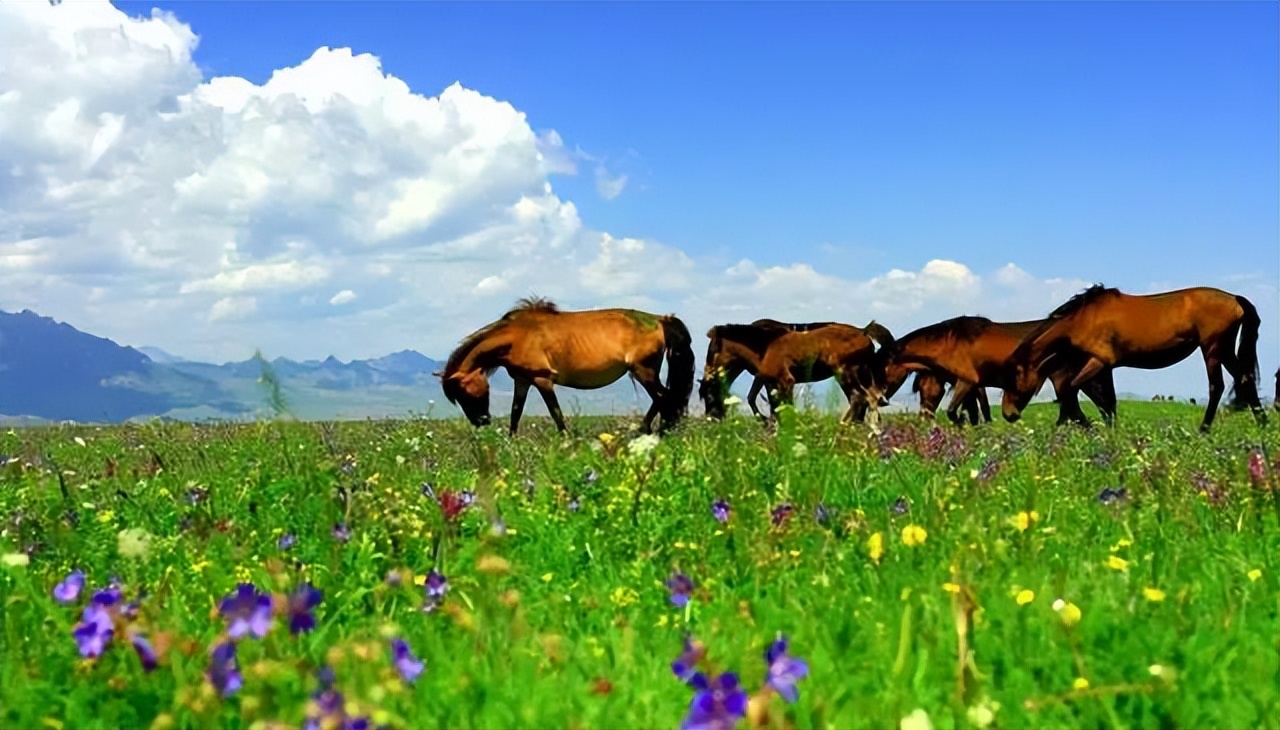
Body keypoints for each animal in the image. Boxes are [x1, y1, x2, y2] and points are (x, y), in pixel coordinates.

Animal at [440, 295, 701, 432]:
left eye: (463, 394)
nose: (481, 421)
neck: (516, 337)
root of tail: (661, 320)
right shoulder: (522, 381)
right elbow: (516, 414)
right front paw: (511, 443)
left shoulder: (543, 379)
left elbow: (556, 414)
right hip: (645, 372)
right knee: (663, 399)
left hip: (643, 371)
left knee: (664, 398)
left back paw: (654, 432)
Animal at [885, 313, 1116, 425]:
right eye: (920, 389)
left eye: (883, 371)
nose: (924, 418)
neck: (951, 342)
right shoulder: (971, 386)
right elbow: (976, 413)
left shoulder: (969, 383)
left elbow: (968, 412)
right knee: (1100, 410)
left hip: (1067, 382)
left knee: (1084, 413)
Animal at [1003, 284, 1264, 432]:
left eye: (1013, 377)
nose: (1008, 414)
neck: (1085, 318)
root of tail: (1234, 298)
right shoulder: (1104, 367)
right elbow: (1106, 400)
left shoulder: (1099, 362)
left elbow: (1072, 391)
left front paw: (1076, 425)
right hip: (1225, 349)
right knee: (1245, 379)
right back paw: (1263, 425)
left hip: (1212, 348)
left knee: (1216, 386)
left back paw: (1204, 429)